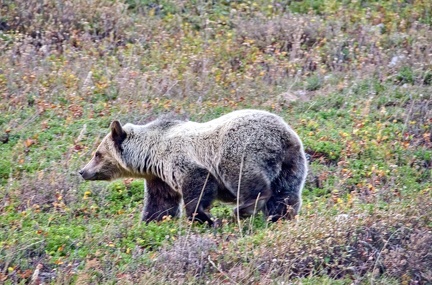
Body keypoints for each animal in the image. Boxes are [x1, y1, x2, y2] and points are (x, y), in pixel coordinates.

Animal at [78, 110, 308, 225]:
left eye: (97, 154)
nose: (82, 171)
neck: (150, 154)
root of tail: (282, 134)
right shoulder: (159, 178)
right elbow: (160, 202)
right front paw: (150, 221)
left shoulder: (180, 160)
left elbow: (197, 185)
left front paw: (204, 217)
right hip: (292, 162)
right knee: (285, 194)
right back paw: (281, 217)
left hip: (240, 150)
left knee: (248, 181)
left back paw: (242, 209)